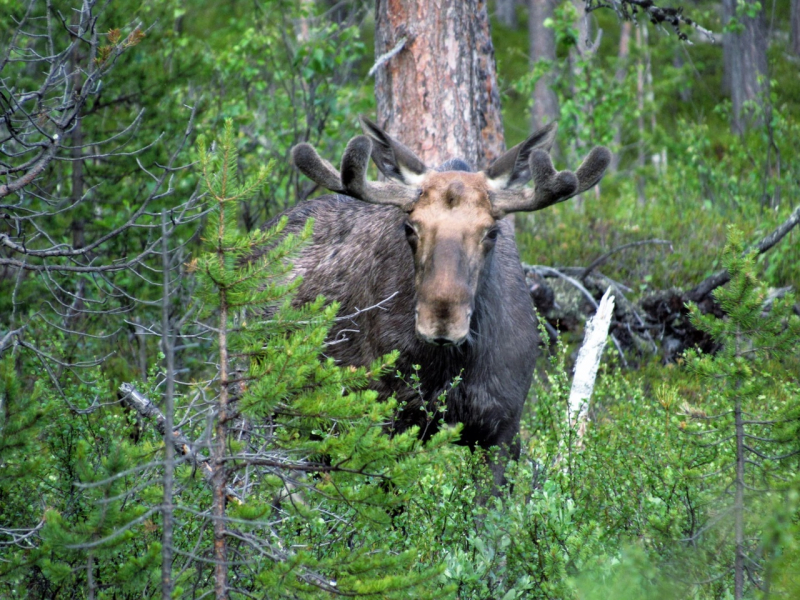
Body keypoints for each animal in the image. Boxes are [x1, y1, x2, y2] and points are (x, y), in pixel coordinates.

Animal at [271, 117, 610, 489]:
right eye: (410, 227)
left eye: (492, 232)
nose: (442, 322)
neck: (454, 365)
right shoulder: (391, 417)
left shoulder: (503, 429)